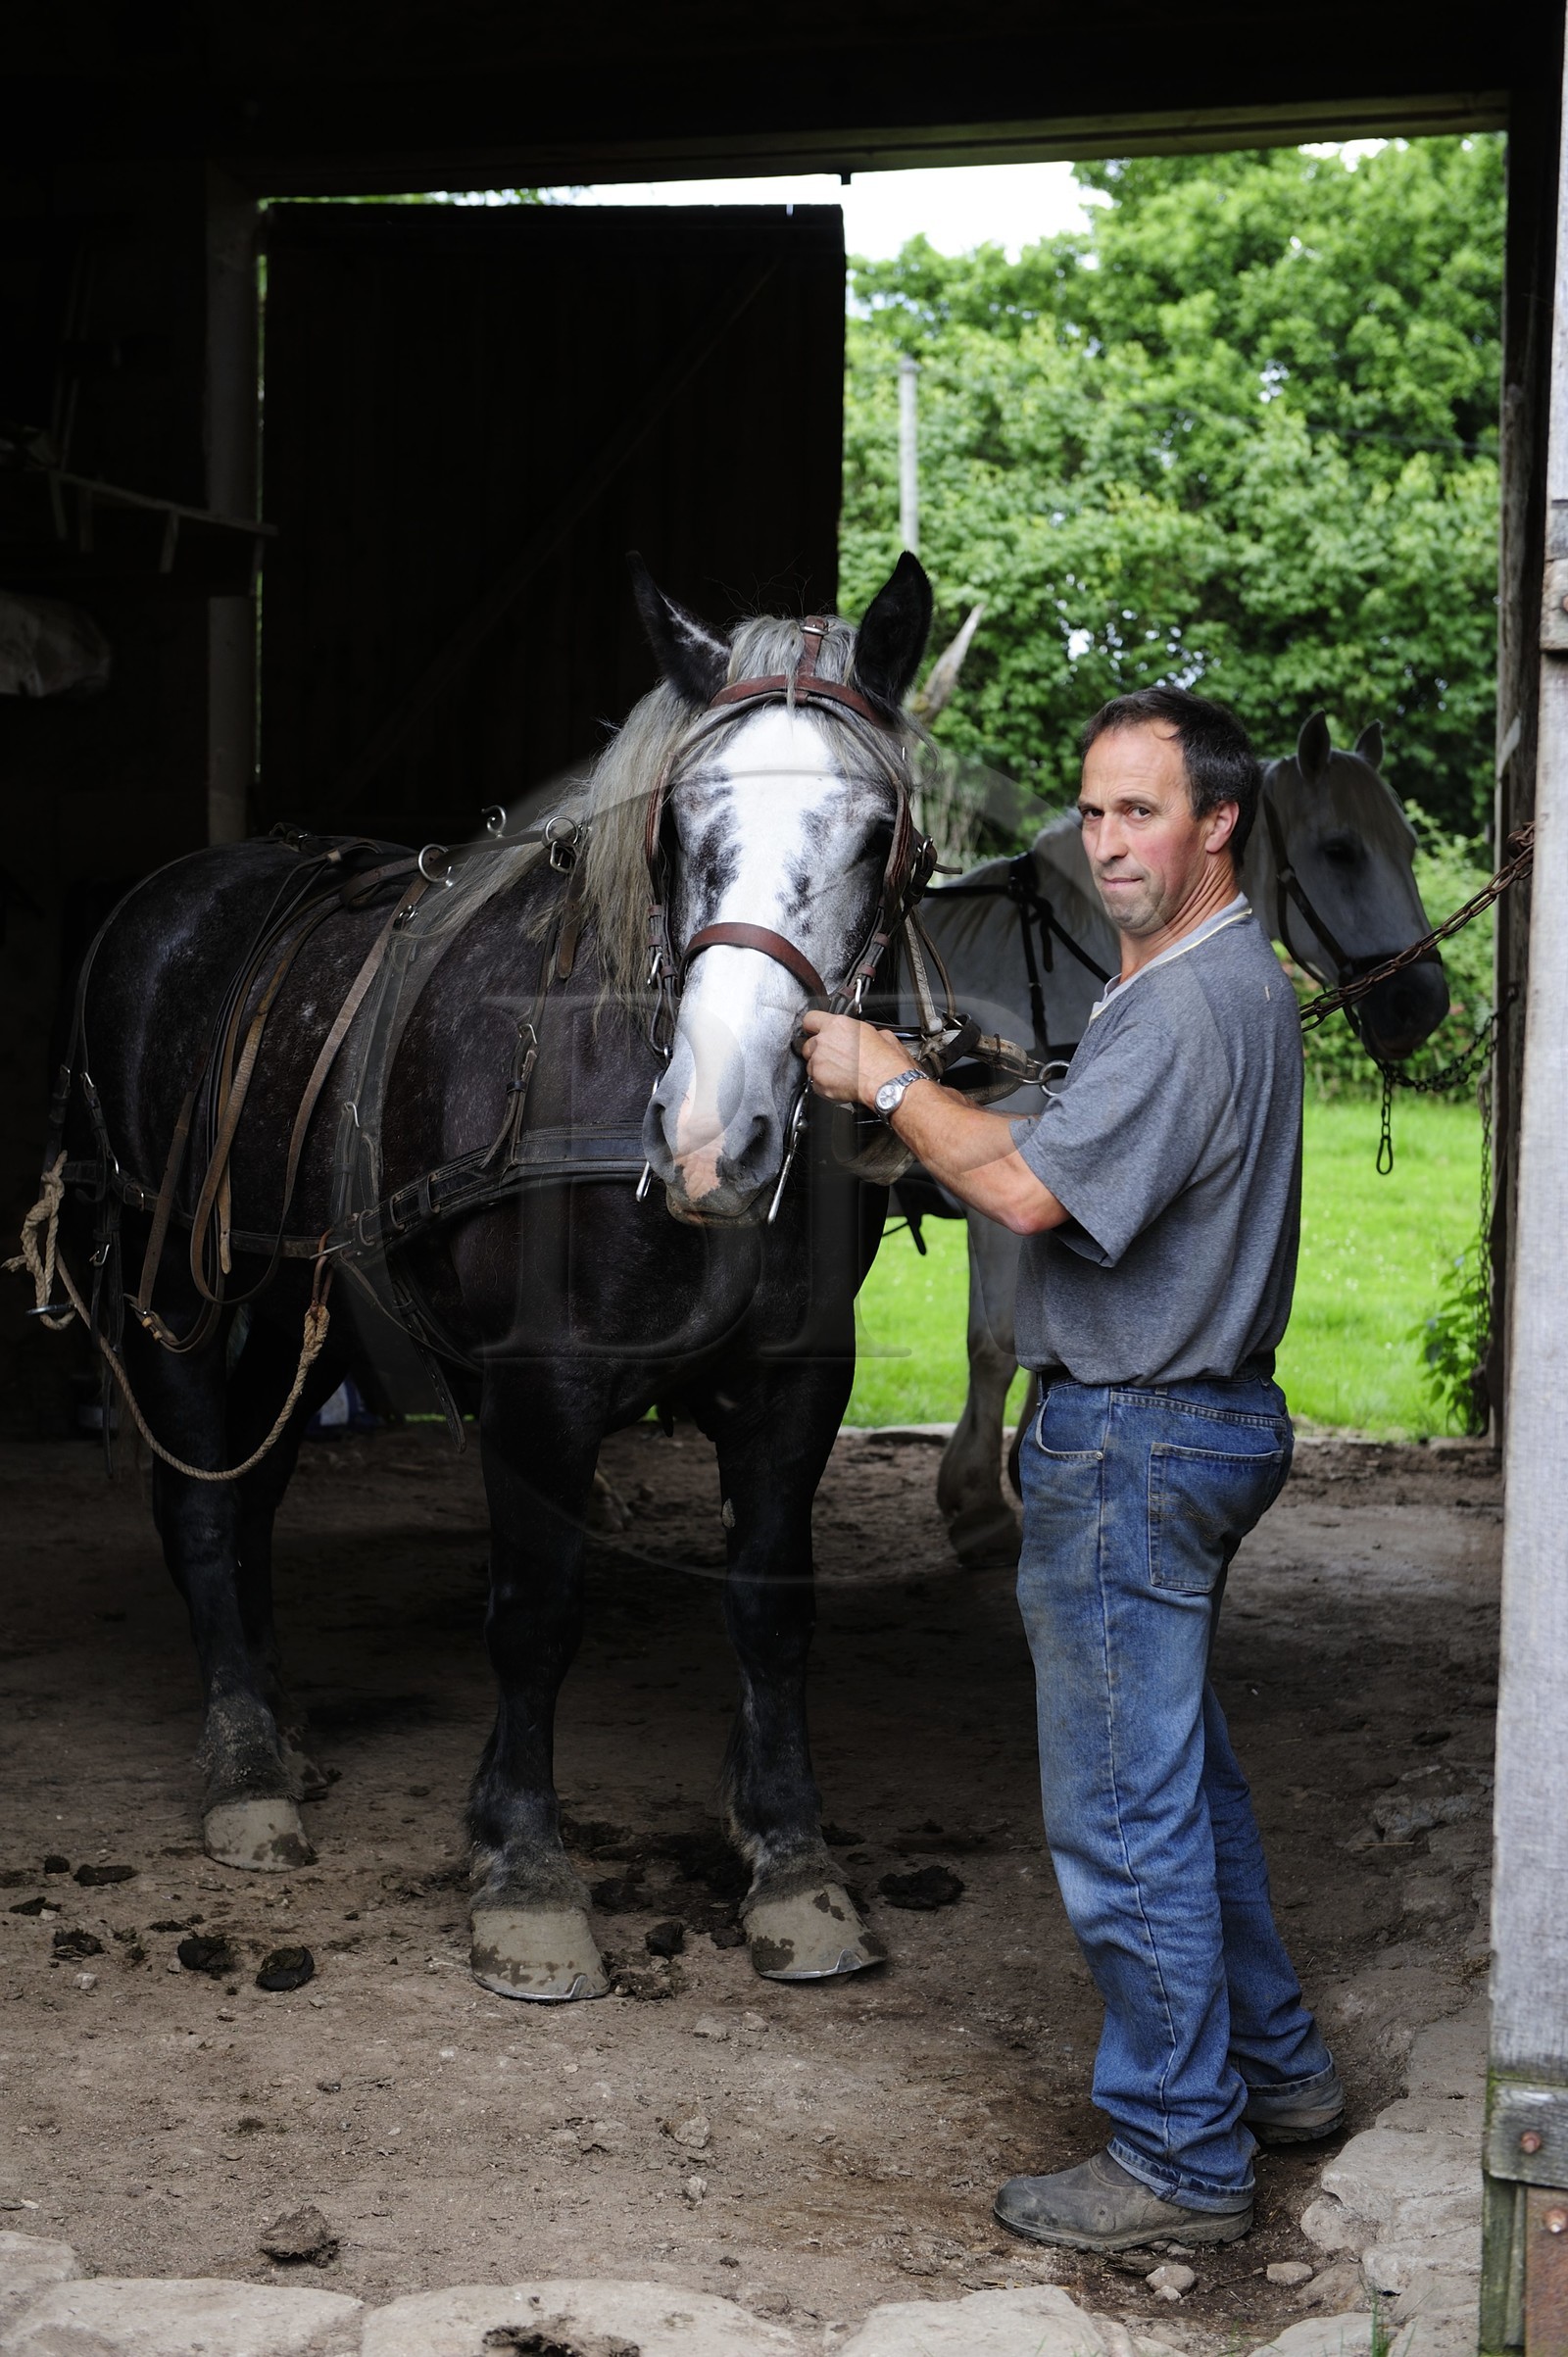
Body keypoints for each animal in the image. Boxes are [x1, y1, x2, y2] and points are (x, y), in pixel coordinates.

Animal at [44, 553, 938, 2003]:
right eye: (679, 823)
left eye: (874, 837)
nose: (713, 1134)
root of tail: (165, 901)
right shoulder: (541, 1384)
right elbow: (536, 1611)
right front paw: (523, 1874)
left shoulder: (799, 1382)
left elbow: (770, 1610)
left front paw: (792, 1861)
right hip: (177, 1285)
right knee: (200, 1507)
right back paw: (245, 1762)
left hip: (305, 1307)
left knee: (251, 1499)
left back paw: (277, 1726)